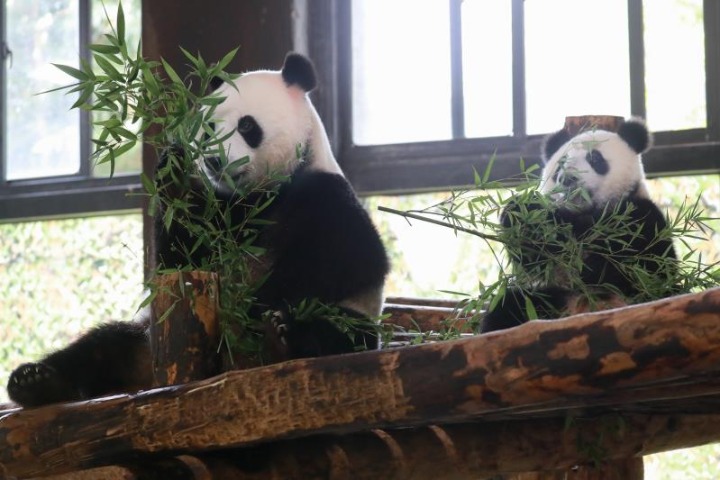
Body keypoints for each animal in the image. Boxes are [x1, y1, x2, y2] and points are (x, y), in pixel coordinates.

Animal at [7, 52, 388, 406]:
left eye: (246, 126)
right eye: (208, 128)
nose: (214, 160)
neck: (256, 198)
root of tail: (148, 374)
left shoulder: (323, 195)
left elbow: (349, 259)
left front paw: (255, 307)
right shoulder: (217, 211)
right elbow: (178, 259)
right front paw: (174, 176)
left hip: (351, 319)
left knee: (339, 331)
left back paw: (283, 336)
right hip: (144, 335)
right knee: (101, 346)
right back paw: (36, 382)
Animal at [480, 118, 676, 332]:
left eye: (595, 158)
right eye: (560, 165)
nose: (567, 178)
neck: (587, 211)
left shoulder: (639, 216)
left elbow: (645, 267)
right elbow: (533, 259)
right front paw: (523, 212)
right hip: (550, 300)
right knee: (510, 305)